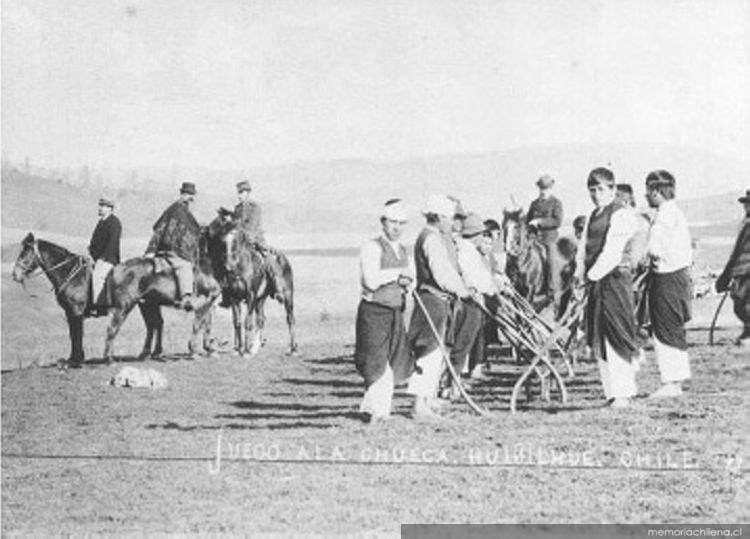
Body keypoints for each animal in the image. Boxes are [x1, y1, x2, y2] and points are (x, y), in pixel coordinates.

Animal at [209, 217, 300, 356]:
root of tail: (284, 259)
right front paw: (239, 349)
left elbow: (247, 322)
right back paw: (255, 347)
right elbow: (237, 322)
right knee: (261, 319)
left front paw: (245, 351)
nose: (229, 265)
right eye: (223, 240)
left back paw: (293, 349)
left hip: (287, 296)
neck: (240, 268)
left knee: (290, 319)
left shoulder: (250, 296)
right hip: (260, 300)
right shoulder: (234, 298)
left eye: (236, 240)